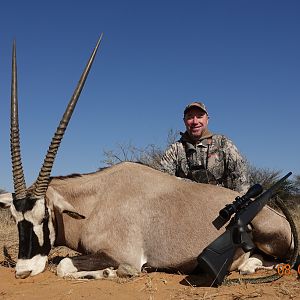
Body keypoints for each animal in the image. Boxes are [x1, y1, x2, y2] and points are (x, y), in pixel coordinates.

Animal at [0, 36, 296, 282]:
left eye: (44, 216)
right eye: (14, 218)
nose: (23, 271)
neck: (96, 201)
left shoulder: (124, 255)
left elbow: (64, 265)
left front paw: (109, 272)